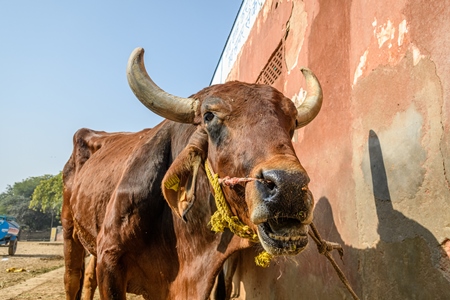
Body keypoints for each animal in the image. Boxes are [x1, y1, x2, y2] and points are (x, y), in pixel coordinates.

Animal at [62, 48, 324, 298]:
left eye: (293, 122)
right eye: (209, 116)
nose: (289, 187)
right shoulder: (110, 261)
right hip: (69, 229)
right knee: (72, 279)